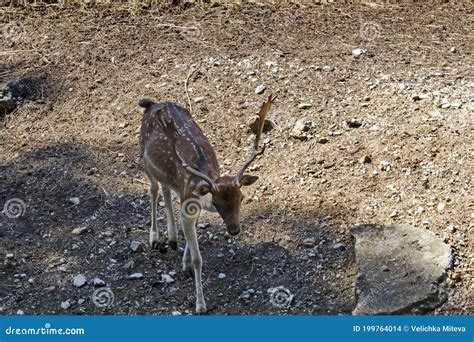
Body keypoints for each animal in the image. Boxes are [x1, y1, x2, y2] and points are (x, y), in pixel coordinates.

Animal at [139, 95, 276, 314]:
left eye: (241, 198)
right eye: (216, 202)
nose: (234, 230)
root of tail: (151, 104)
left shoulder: (190, 205)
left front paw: (184, 265)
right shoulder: (188, 205)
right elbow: (198, 259)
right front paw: (200, 304)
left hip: (167, 176)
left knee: (166, 189)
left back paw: (172, 238)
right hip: (144, 156)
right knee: (153, 189)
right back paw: (154, 238)